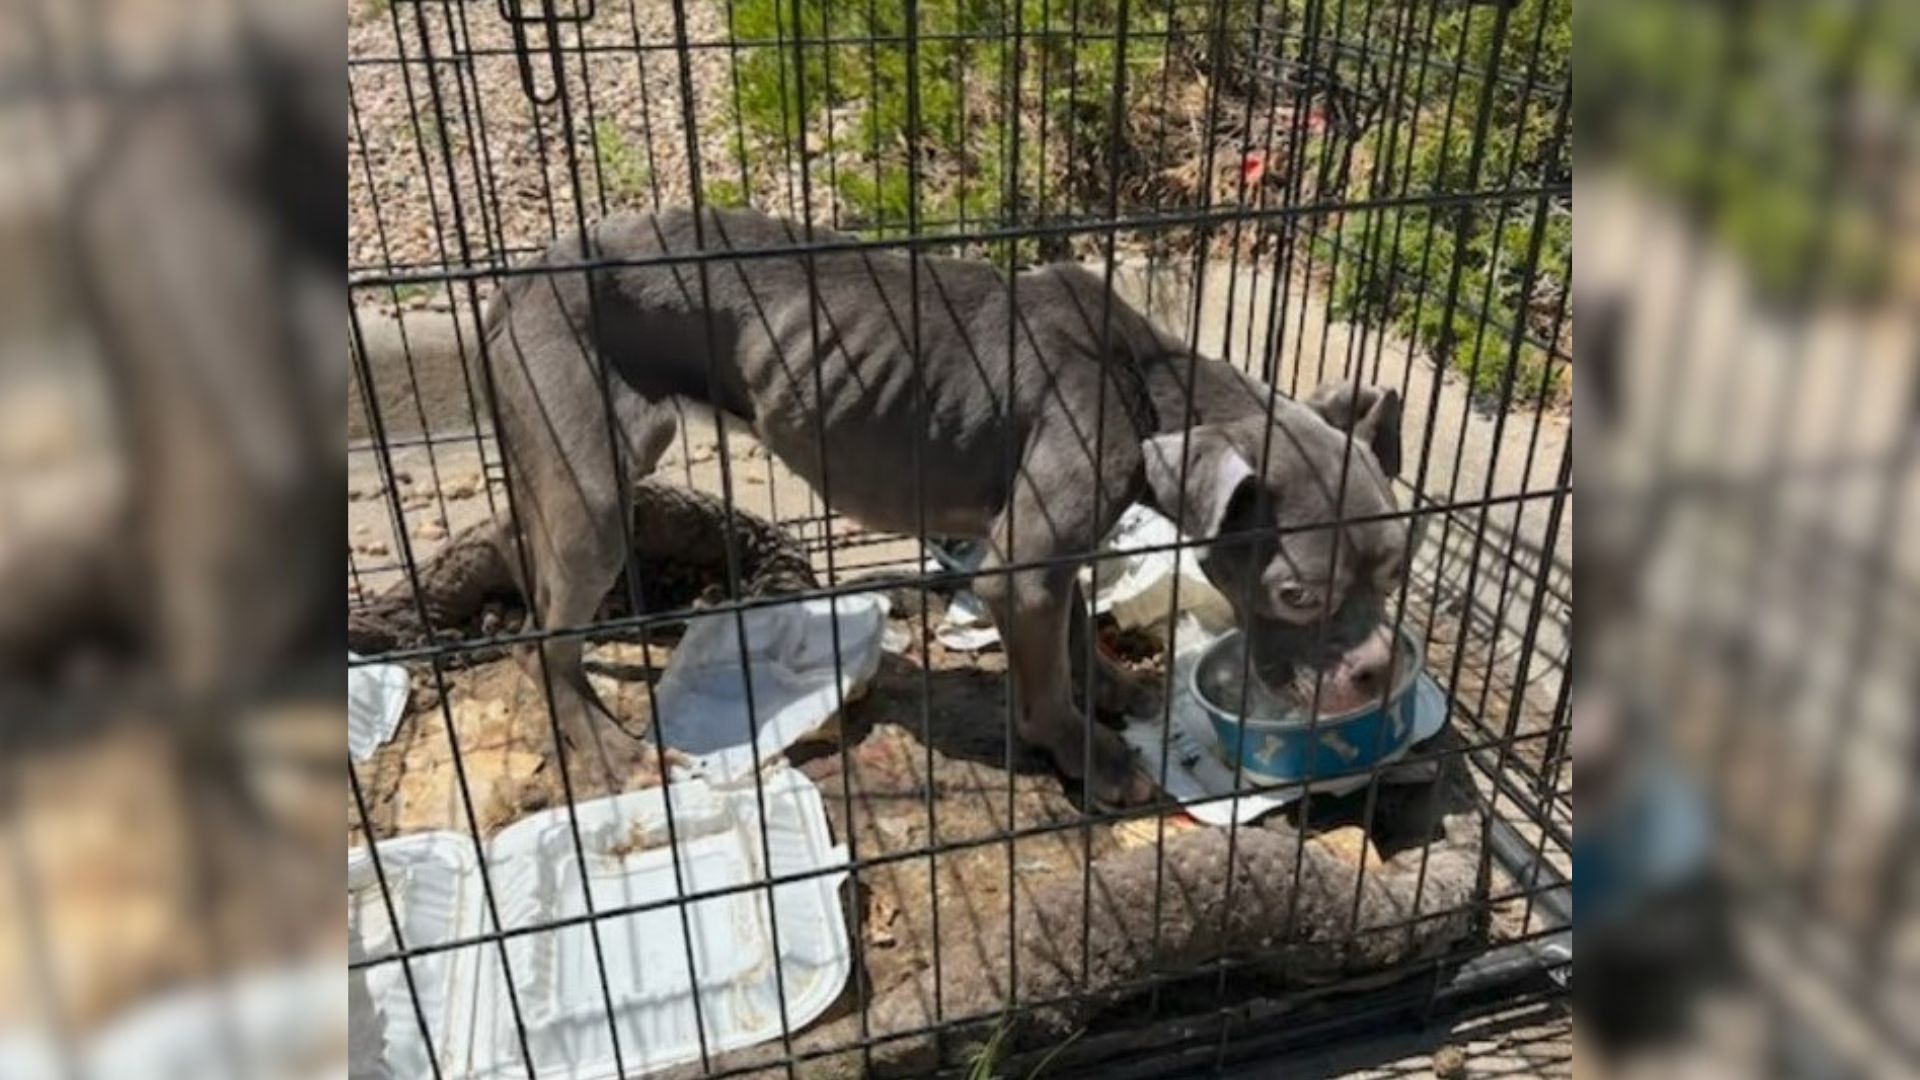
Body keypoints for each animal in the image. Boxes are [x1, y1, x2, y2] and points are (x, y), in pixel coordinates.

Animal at [480, 205, 1413, 803]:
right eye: (1298, 594)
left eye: (1394, 576)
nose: (1376, 671)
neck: (1145, 382)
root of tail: (521, 275)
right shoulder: (1022, 568)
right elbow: (1045, 681)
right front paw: (1087, 752)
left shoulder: (1056, 547)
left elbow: (1077, 621)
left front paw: (1110, 684)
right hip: (595, 491)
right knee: (544, 639)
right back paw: (604, 745)